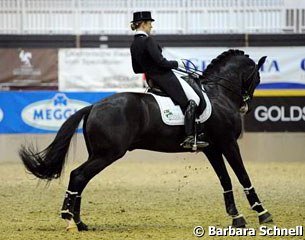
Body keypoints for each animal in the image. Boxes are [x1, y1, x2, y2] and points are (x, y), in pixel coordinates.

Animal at [19, 48, 270, 231]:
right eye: (257, 78)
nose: (245, 107)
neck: (218, 95)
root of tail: (93, 106)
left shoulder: (213, 148)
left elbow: (225, 180)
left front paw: (236, 217)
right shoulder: (228, 143)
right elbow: (243, 176)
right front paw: (262, 212)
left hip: (99, 154)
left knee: (79, 178)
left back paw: (78, 222)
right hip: (107, 154)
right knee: (79, 176)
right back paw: (71, 219)